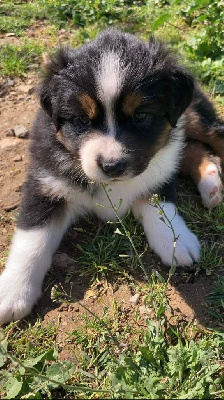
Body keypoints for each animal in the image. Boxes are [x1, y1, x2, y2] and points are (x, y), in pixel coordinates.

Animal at [0, 30, 223, 324]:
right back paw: (211, 184)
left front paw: (176, 241)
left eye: (141, 115)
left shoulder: (160, 168)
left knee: (213, 137)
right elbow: (32, 240)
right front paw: (12, 291)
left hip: (195, 115)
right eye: (82, 120)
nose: (112, 166)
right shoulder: (46, 183)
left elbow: (160, 206)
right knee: (195, 149)